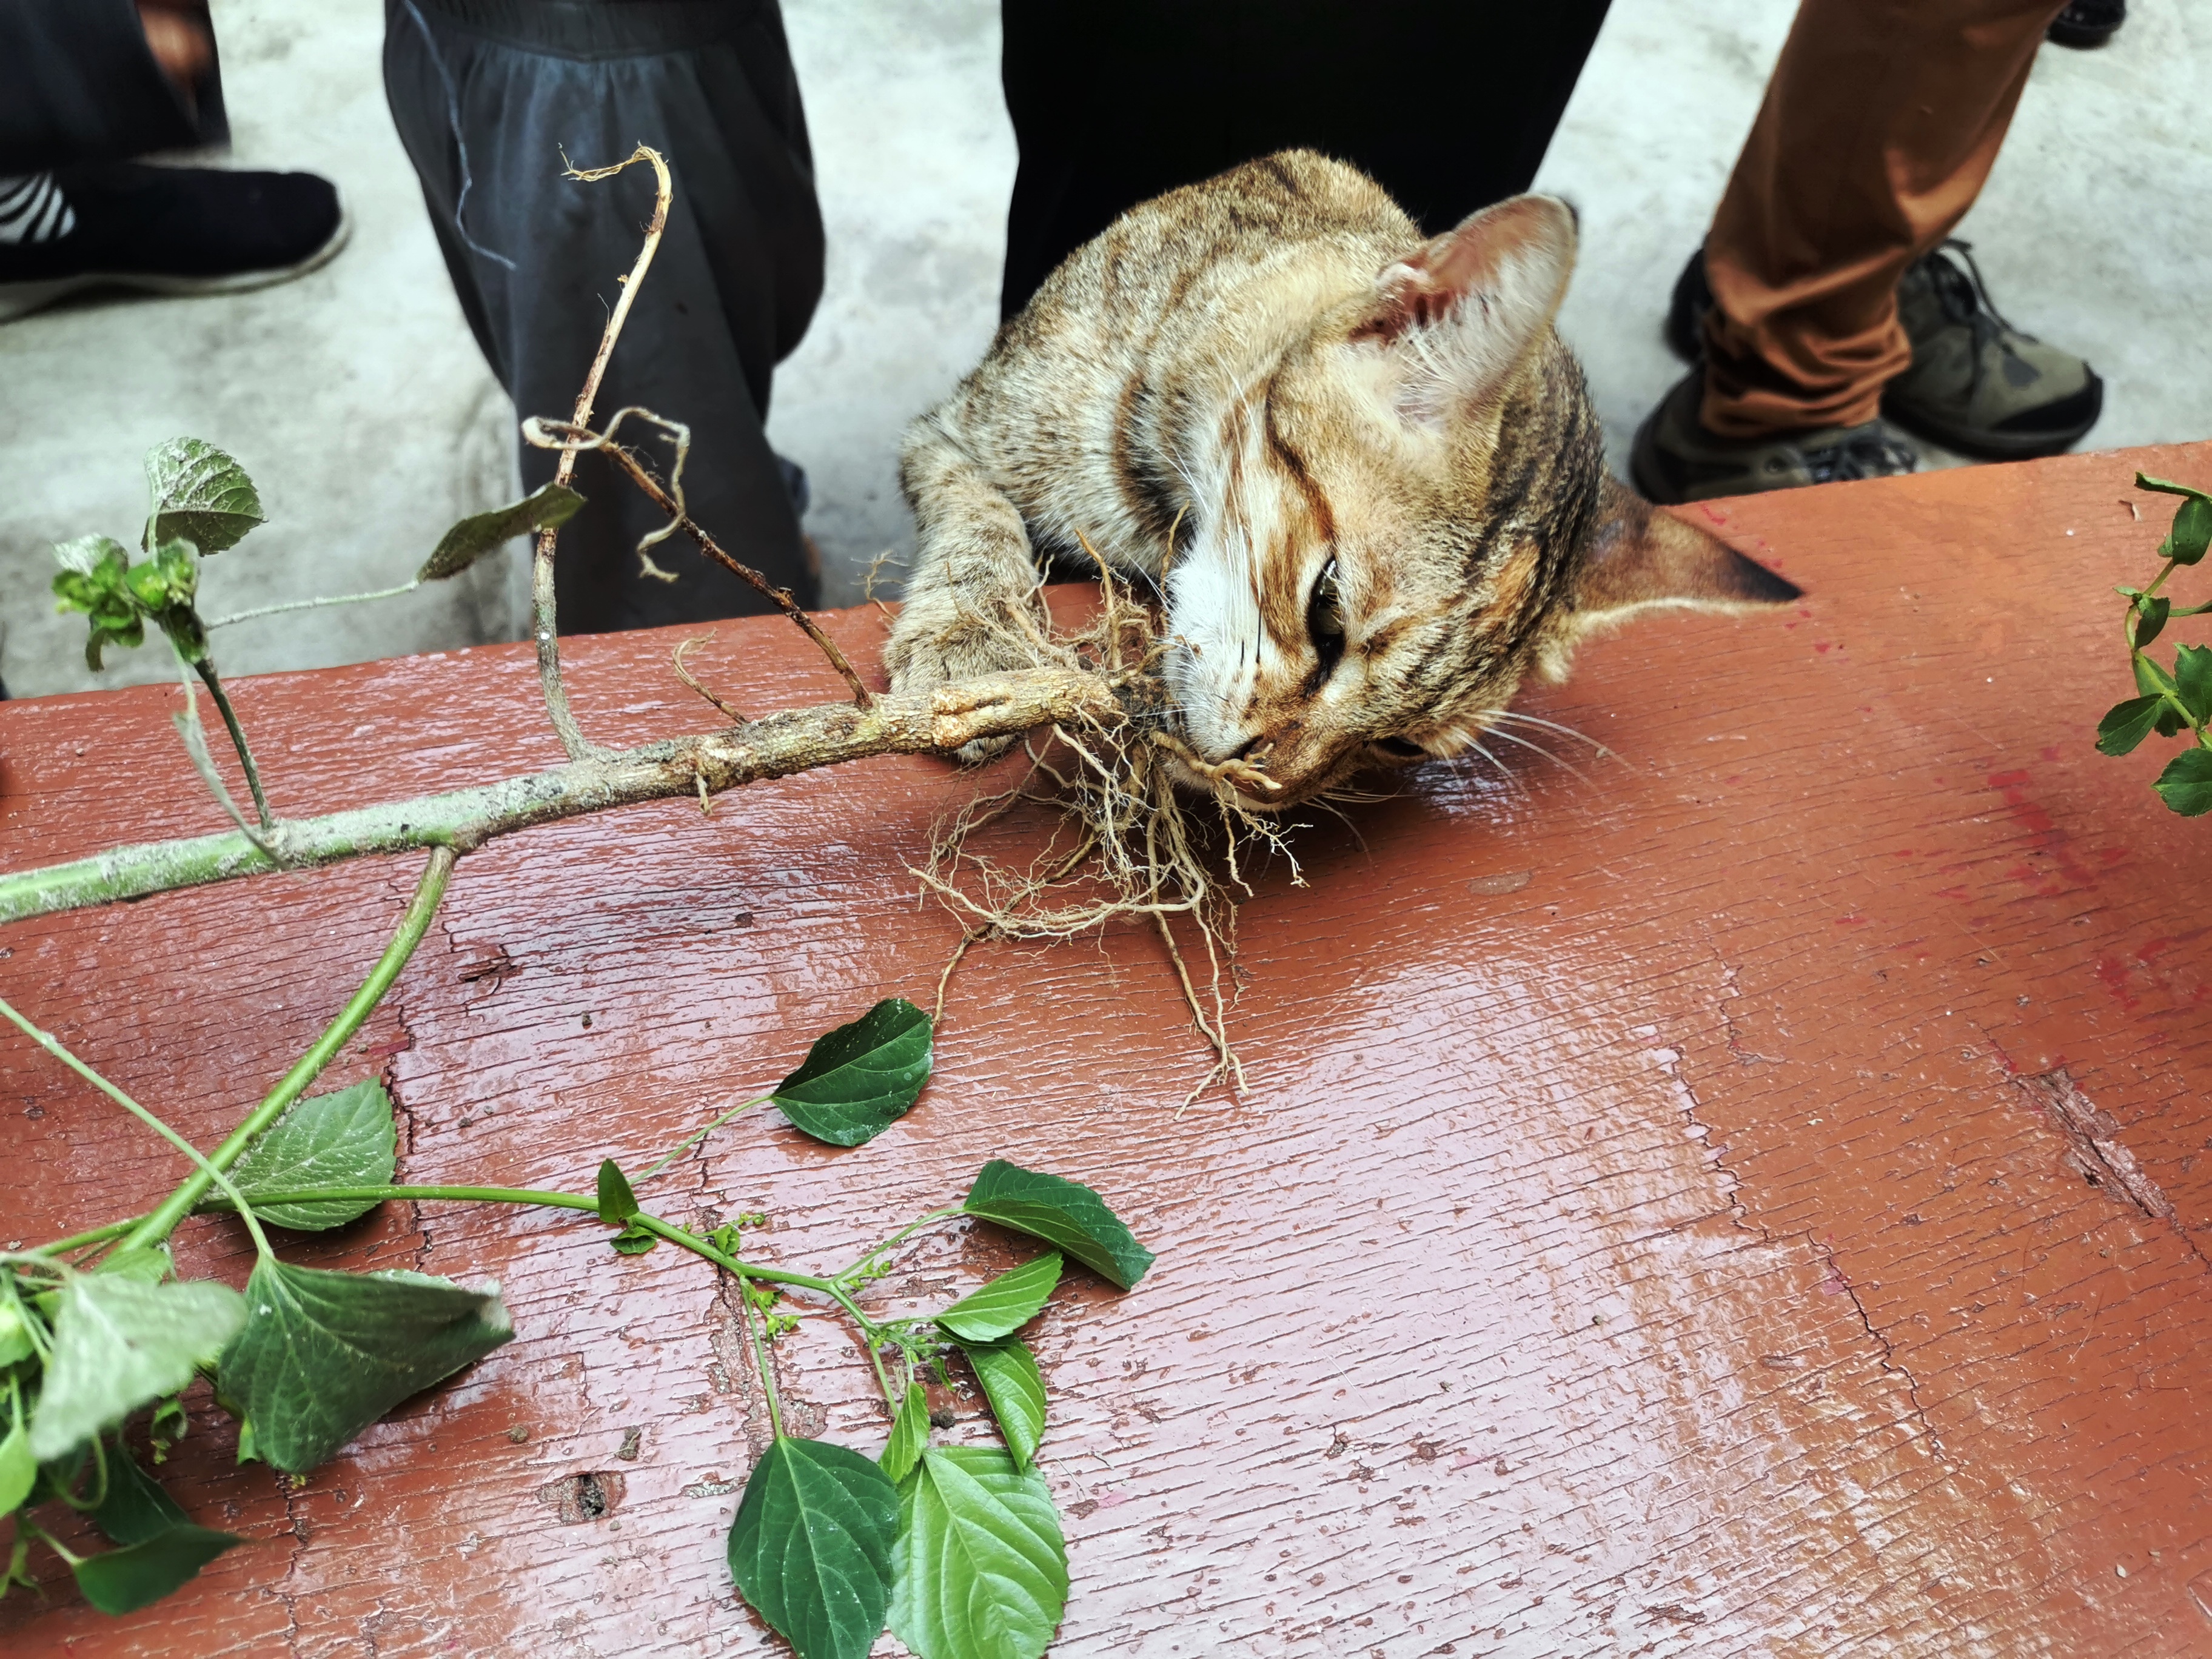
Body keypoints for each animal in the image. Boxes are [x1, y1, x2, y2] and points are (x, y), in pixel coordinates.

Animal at [880, 148, 1796, 805]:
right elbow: (980, 520)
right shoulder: (948, 433)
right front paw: (972, 650)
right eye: (1325, 610)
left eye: (1399, 744)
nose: (1262, 788)